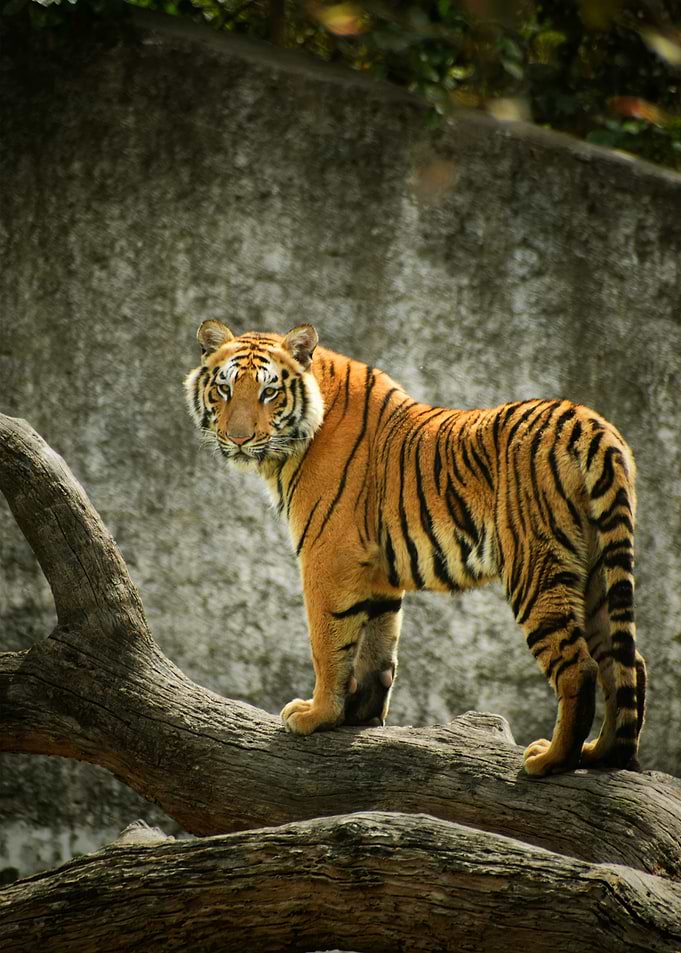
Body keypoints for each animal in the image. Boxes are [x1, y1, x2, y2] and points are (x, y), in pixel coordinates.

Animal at [184, 321, 646, 776]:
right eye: (224, 389)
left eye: (269, 392)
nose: (239, 438)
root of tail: (591, 424)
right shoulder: (376, 570)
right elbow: (377, 645)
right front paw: (360, 716)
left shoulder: (327, 555)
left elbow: (328, 642)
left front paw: (317, 715)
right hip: (598, 570)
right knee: (626, 664)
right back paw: (601, 754)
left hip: (536, 567)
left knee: (580, 668)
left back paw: (550, 760)